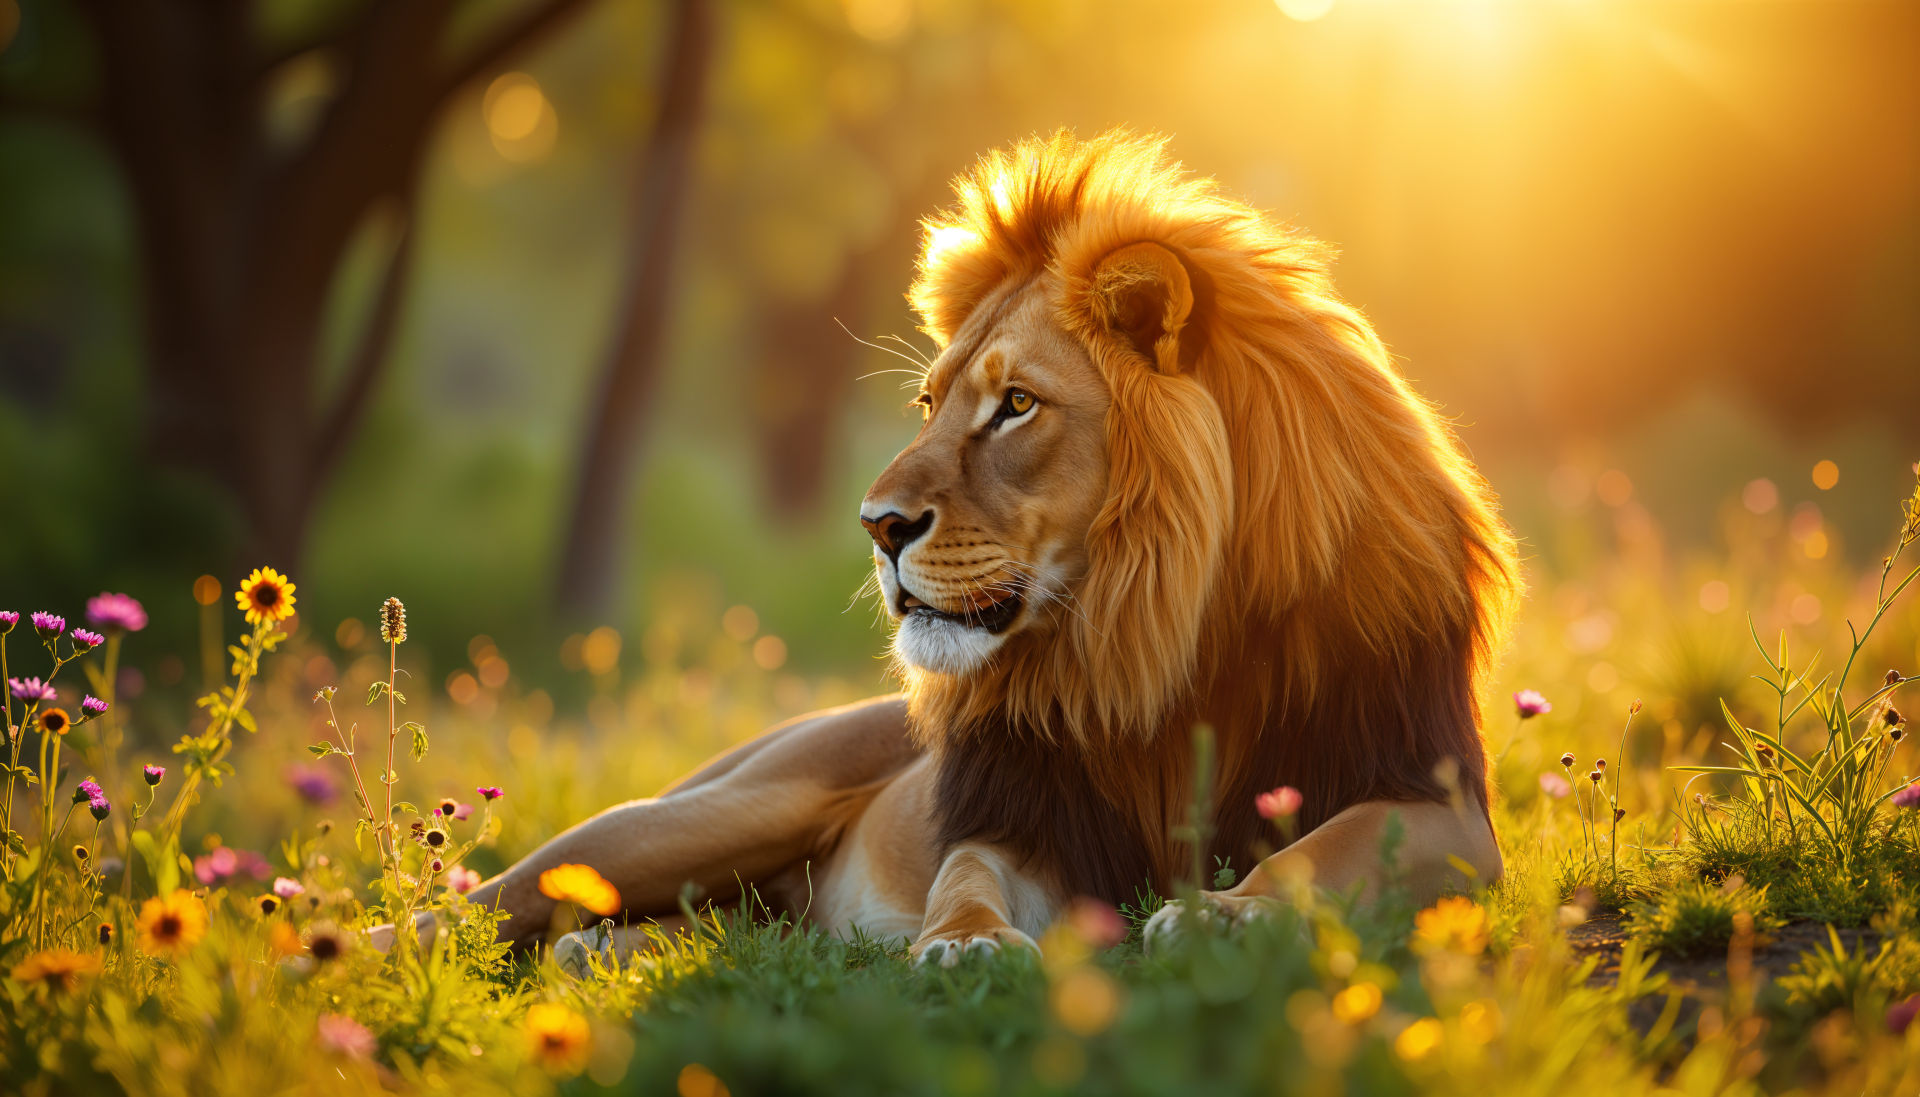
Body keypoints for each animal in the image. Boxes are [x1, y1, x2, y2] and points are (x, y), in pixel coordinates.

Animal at [376, 129, 1520, 967]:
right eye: (929, 404)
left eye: (1016, 405)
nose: (877, 525)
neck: (1151, 633)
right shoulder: (1024, 807)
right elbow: (965, 871)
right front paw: (963, 944)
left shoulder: (1439, 800)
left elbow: (1321, 850)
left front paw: (1226, 912)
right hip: (707, 811)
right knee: (491, 900)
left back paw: (604, 956)